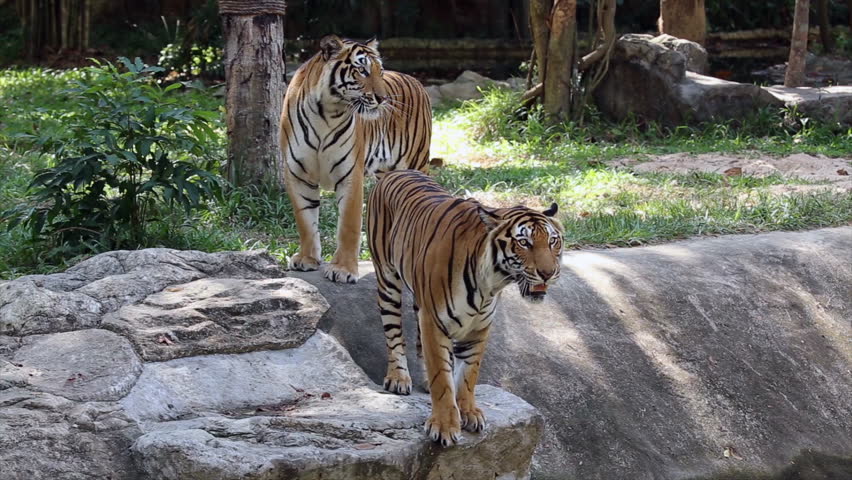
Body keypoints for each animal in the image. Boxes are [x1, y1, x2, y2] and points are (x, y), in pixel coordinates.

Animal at [282, 35, 432, 284]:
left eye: (381, 71)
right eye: (362, 71)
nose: (383, 99)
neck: (326, 113)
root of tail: (416, 81)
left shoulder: (350, 174)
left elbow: (348, 226)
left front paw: (343, 270)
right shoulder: (298, 174)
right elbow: (305, 220)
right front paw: (307, 259)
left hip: (414, 164)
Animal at [366, 169, 564, 446]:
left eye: (553, 241)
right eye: (524, 243)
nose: (549, 273)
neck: (491, 282)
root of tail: (396, 171)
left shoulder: (478, 327)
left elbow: (469, 373)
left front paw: (469, 412)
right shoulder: (435, 322)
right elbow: (442, 377)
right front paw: (445, 425)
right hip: (387, 279)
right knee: (394, 332)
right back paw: (398, 378)